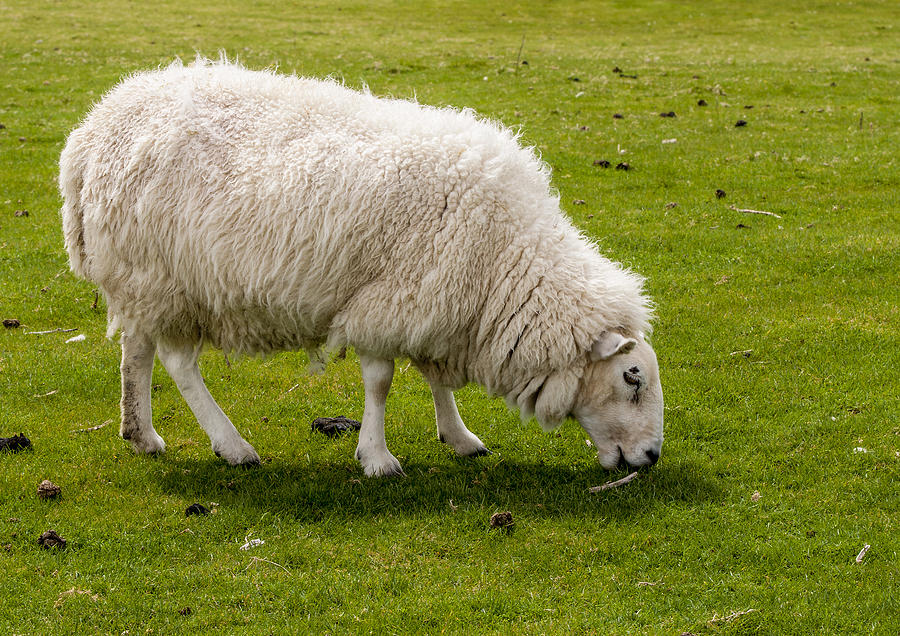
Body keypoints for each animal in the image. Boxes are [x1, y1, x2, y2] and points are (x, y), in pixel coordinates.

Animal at [56, 58, 660, 476]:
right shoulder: (387, 298)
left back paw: (140, 434)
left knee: (136, 353)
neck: (504, 264)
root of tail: (93, 129)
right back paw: (233, 446)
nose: (653, 455)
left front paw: (459, 436)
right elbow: (382, 381)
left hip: (138, 279)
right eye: (632, 377)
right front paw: (377, 457)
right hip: (169, 280)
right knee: (180, 365)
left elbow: (435, 379)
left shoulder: (431, 299)